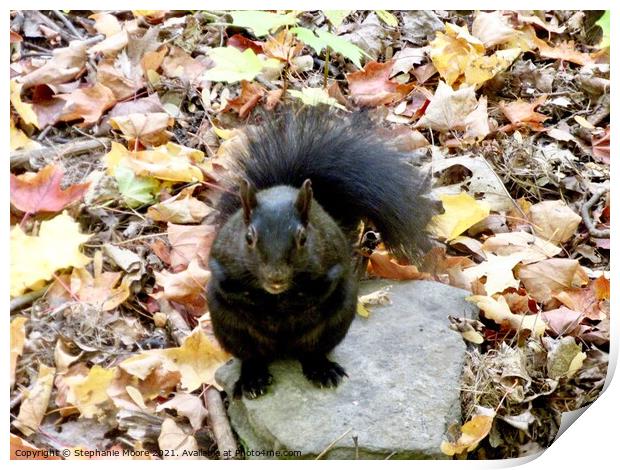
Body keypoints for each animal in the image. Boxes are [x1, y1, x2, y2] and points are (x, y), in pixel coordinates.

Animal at [206, 108, 434, 398]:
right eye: (248, 238)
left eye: (303, 238)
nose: (276, 278)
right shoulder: (221, 264)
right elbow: (232, 289)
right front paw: (264, 307)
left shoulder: (332, 264)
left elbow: (321, 289)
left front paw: (292, 304)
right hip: (230, 330)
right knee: (251, 356)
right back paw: (253, 378)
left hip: (334, 323)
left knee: (312, 353)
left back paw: (322, 370)